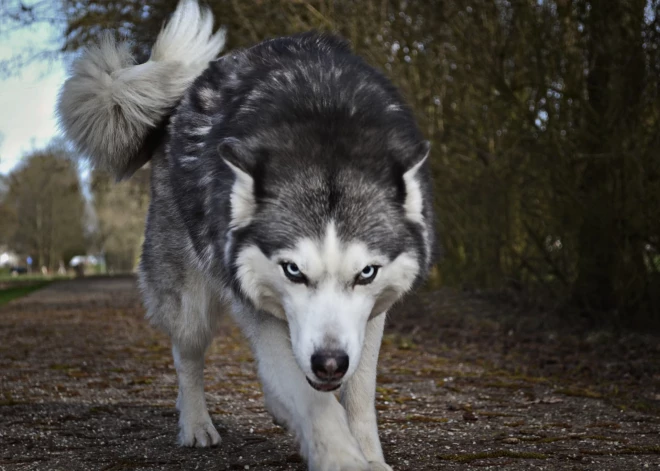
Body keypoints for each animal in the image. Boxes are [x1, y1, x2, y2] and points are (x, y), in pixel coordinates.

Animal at [59, 1, 436, 470]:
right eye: (293, 271)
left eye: (366, 273)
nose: (329, 363)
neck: (324, 125)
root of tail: (180, 101)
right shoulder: (260, 310)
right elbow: (316, 404)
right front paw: (341, 457)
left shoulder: (369, 318)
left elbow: (359, 396)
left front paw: (370, 457)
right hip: (190, 303)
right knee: (187, 357)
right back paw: (196, 425)